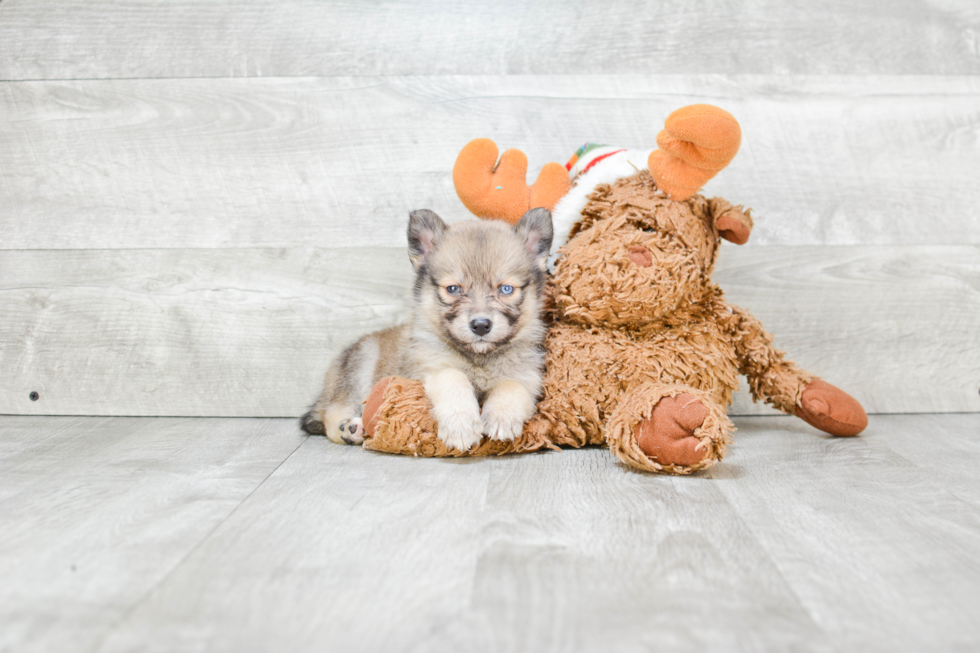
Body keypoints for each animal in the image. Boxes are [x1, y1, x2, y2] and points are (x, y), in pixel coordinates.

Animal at [298, 208, 556, 448]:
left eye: (506, 289)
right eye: (453, 289)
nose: (481, 326)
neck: (479, 358)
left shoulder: (527, 376)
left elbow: (511, 385)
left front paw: (502, 417)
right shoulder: (433, 369)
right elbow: (454, 378)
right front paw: (461, 425)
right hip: (359, 366)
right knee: (331, 415)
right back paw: (351, 430)